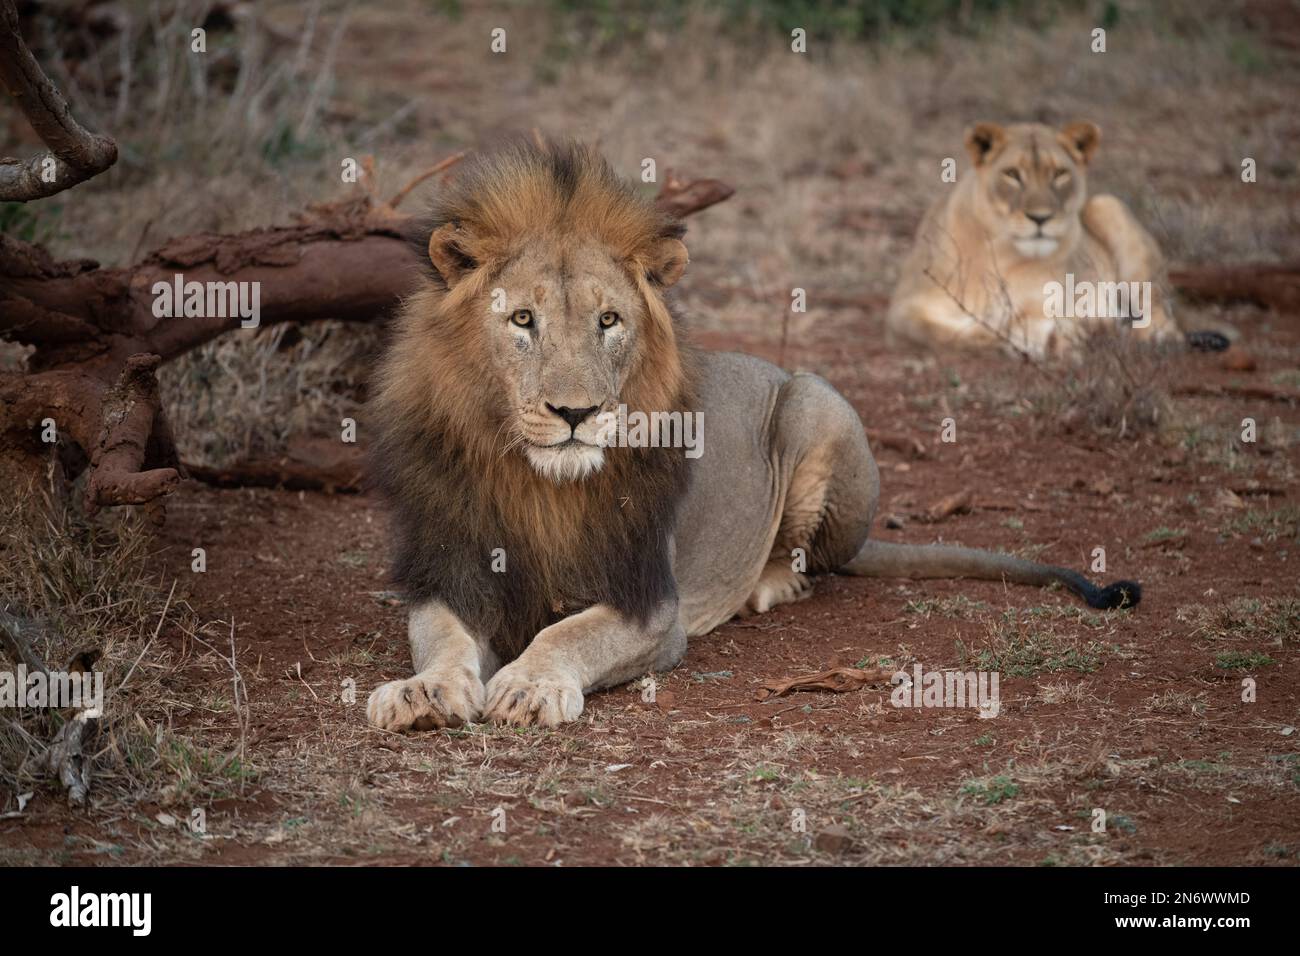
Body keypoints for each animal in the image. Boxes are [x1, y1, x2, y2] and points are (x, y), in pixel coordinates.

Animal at [366, 140, 1138, 733]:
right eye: (522, 320)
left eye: (609, 321)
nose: (576, 413)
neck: (538, 482)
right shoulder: (448, 570)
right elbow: (440, 637)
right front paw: (422, 692)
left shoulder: (652, 601)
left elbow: (569, 632)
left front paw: (530, 685)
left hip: (817, 402)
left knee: (810, 558)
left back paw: (767, 586)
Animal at [889, 119, 1201, 358]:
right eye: (1012, 174)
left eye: (1060, 174)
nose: (1040, 218)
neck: (998, 251)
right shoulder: (906, 308)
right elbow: (936, 332)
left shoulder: (1047, 300)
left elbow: (1029, 320)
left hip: (1107, 205)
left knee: (1160, 315)